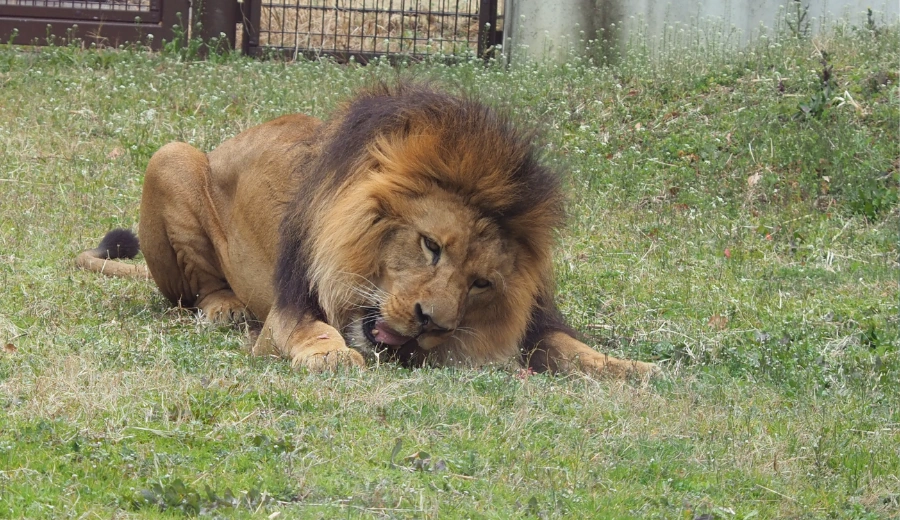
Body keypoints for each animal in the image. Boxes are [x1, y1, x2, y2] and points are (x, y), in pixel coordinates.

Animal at [77, 83, 659, 379]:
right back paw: (225, 307)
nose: (431, 322)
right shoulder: (290, 306)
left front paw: (634, 369)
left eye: (481, 283)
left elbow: (567, 345)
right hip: (170, 156)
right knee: (197, 290)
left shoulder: (535, 322)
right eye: (431, 246)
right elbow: (310, 331)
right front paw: (330, 354)